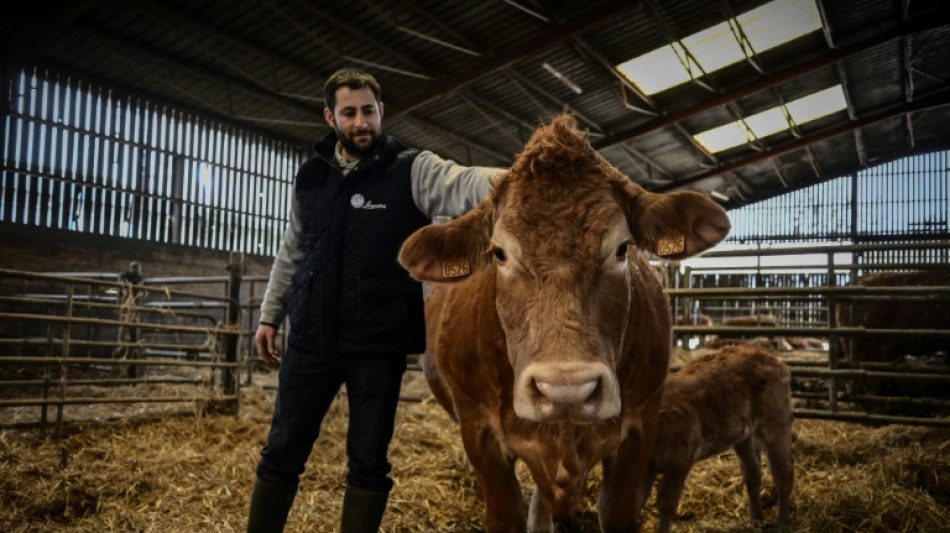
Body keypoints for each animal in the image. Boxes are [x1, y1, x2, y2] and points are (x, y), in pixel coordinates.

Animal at [396, 114, 728, 528]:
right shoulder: (478, 431)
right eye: (499, 253)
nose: (566, 390)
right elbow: (505, 511)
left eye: (622, 248)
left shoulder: (641, 427)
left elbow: (616, 510)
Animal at [640, 342, 796, 528]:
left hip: (775, 422)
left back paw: (782, 522)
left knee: (782, 471)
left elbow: (666, 502)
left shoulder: (678, 461)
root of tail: (770, 357)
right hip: (743, 433)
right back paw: (755, 519)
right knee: (752, 471)